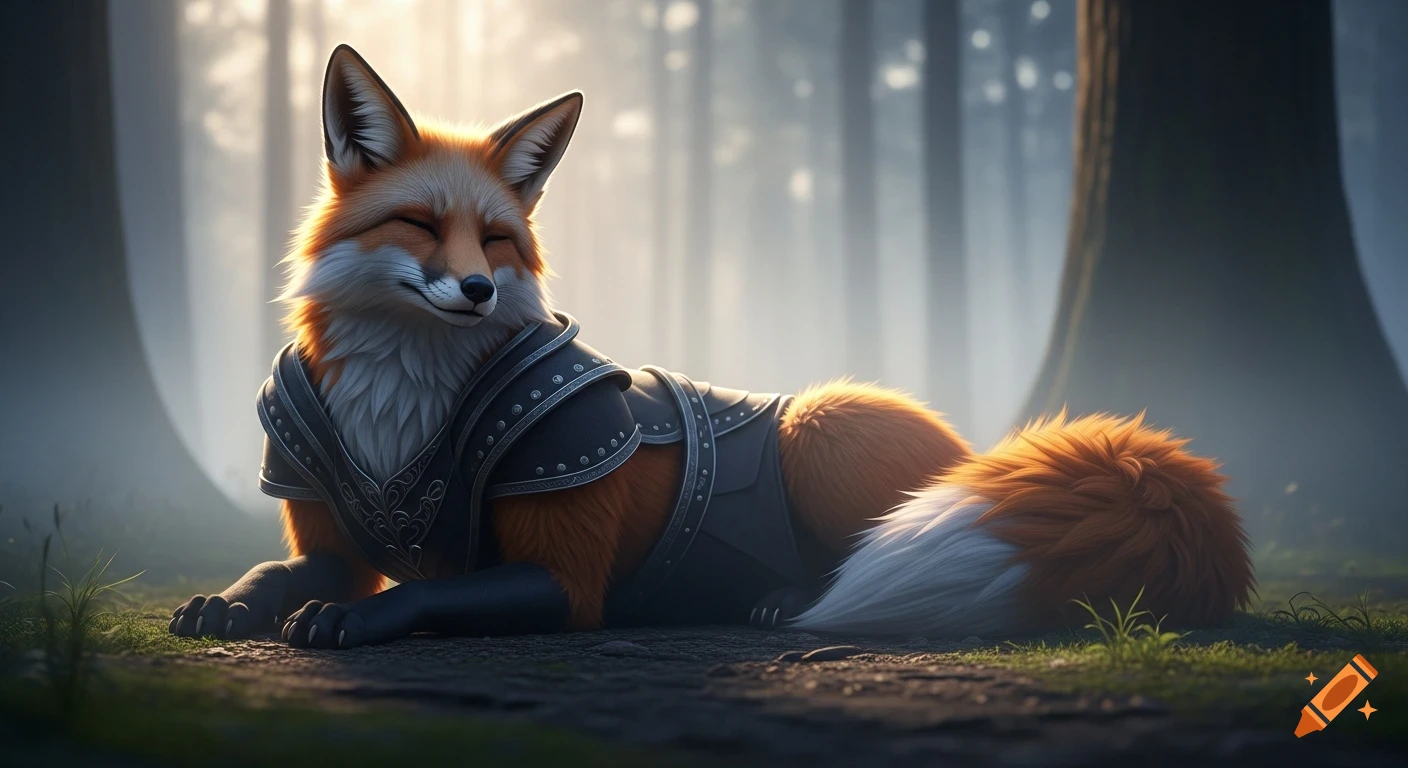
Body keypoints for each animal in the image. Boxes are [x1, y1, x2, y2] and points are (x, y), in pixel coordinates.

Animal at [171, 45, 1254, 650]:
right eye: (421, 226)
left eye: (495, 242)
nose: (476, 292)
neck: (400, 414)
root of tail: (980, 451)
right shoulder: (325, 535)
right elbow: (282, 576)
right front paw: (226, 603)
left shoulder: (568, 573)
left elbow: (428, 596)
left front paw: (351, 625)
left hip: (823, 433)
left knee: (860, 554)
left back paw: (790, 598)